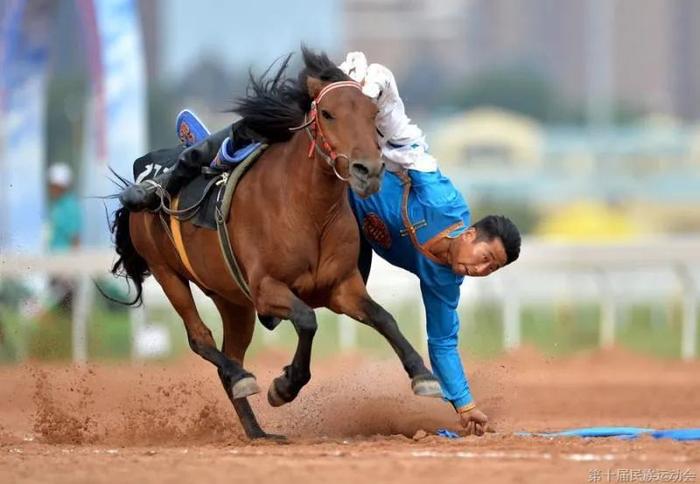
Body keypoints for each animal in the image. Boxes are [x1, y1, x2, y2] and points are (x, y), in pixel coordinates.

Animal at [109, 48, 440, 438]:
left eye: (373, 115)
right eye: (328, 113)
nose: (368, 171)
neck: (308, 211)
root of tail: (147, 175)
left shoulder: (342, 288)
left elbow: (384, 318)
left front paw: (423, 374)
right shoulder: (267, 289)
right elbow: (307, 320)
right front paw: (285, 386)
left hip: (231, 300)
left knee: (229, 356)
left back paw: (256, 430)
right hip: (167, 272)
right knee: (201, 338)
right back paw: (242, 378)